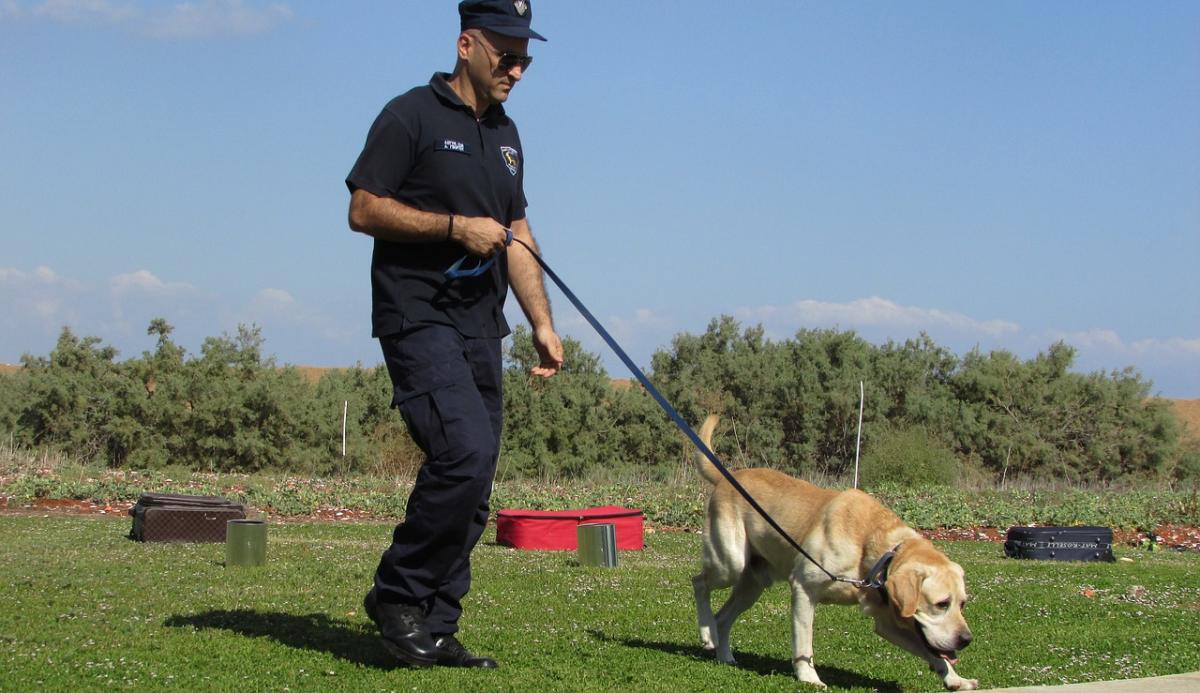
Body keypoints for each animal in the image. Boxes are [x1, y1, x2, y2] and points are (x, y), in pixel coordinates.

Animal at [696, 412, 974, 685]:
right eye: (942, 603)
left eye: (962, 604)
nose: (966, 640)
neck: (871, 549)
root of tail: (728, 477)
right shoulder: (804, 589)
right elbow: (803, 643)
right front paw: (808, 677)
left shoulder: (887, 621)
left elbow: (932, 651)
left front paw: (955, 679)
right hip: (730, 563)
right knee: (699, 582)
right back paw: (706, 631)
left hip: (753, 583)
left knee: (723, 617)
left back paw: (723, 652)